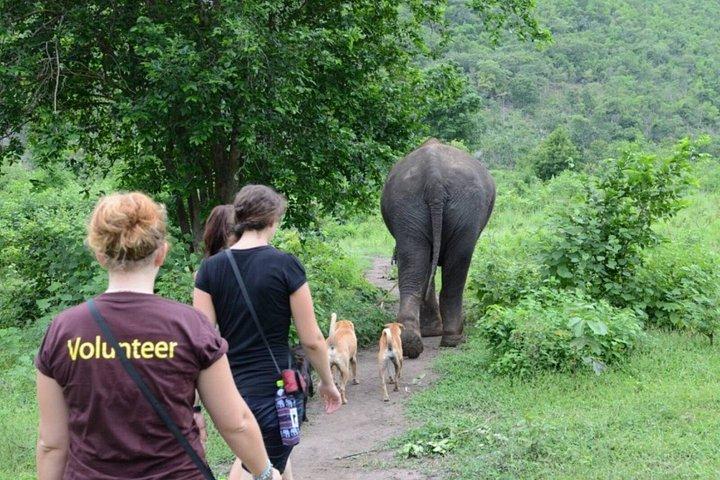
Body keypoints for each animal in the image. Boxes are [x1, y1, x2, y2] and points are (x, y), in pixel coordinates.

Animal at [380, 139, 495, 359]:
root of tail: (434, 179)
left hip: (410, 205)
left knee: (415, 262)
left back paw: (411, 342)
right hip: (461, 206)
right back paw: (452, 338)